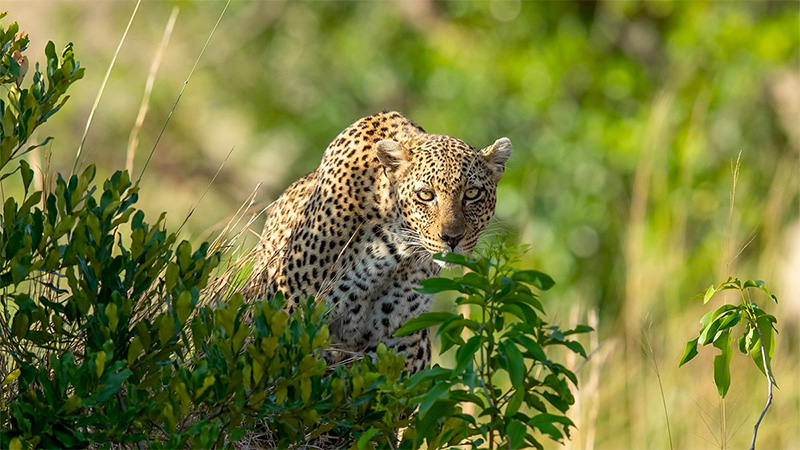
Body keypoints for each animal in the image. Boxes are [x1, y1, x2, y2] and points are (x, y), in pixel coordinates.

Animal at [247, 110, 512, 372]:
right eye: (426, 194)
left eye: (472, 193)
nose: (451, 238)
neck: (390, 248)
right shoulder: (287, 313)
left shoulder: (400, 338)